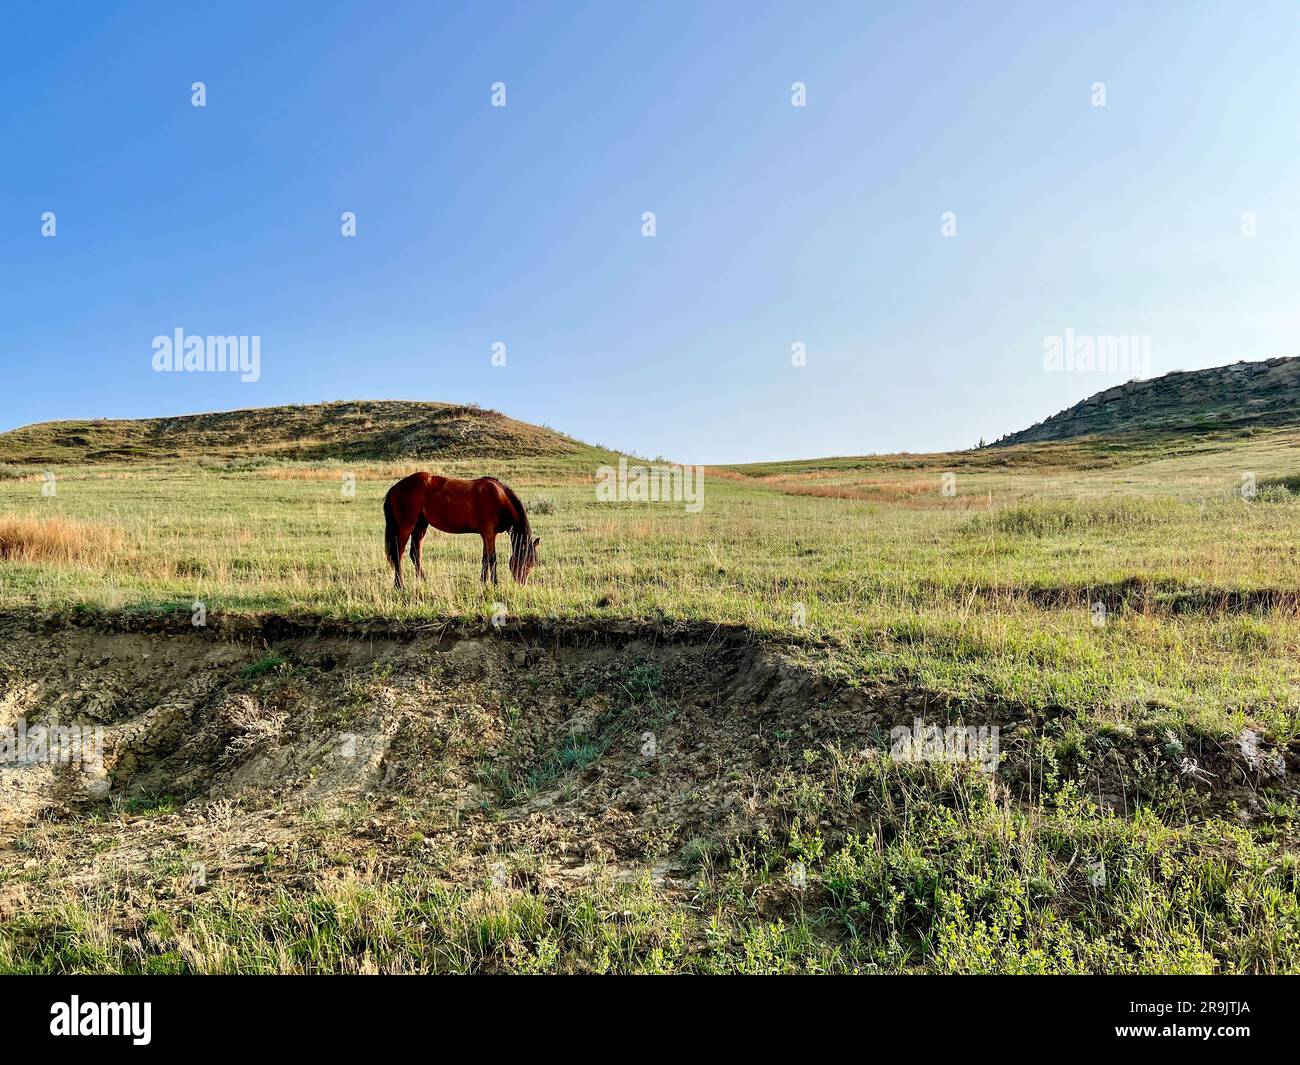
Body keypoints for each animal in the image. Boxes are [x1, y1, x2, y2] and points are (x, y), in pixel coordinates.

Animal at [382, 473, 540, 589]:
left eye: (532, 564)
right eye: (524, 562)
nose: (522, 584)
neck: (499, 499)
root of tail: (395, 488)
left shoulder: (488, 535)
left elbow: (485, 559)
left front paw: (483, 582)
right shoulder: (489, 533)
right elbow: (493, 559)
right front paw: (495, 584)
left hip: (420, 526)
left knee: (415, 554)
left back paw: (423, 580)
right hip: (406, 526)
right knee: (398, 554)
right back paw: (399, 586)